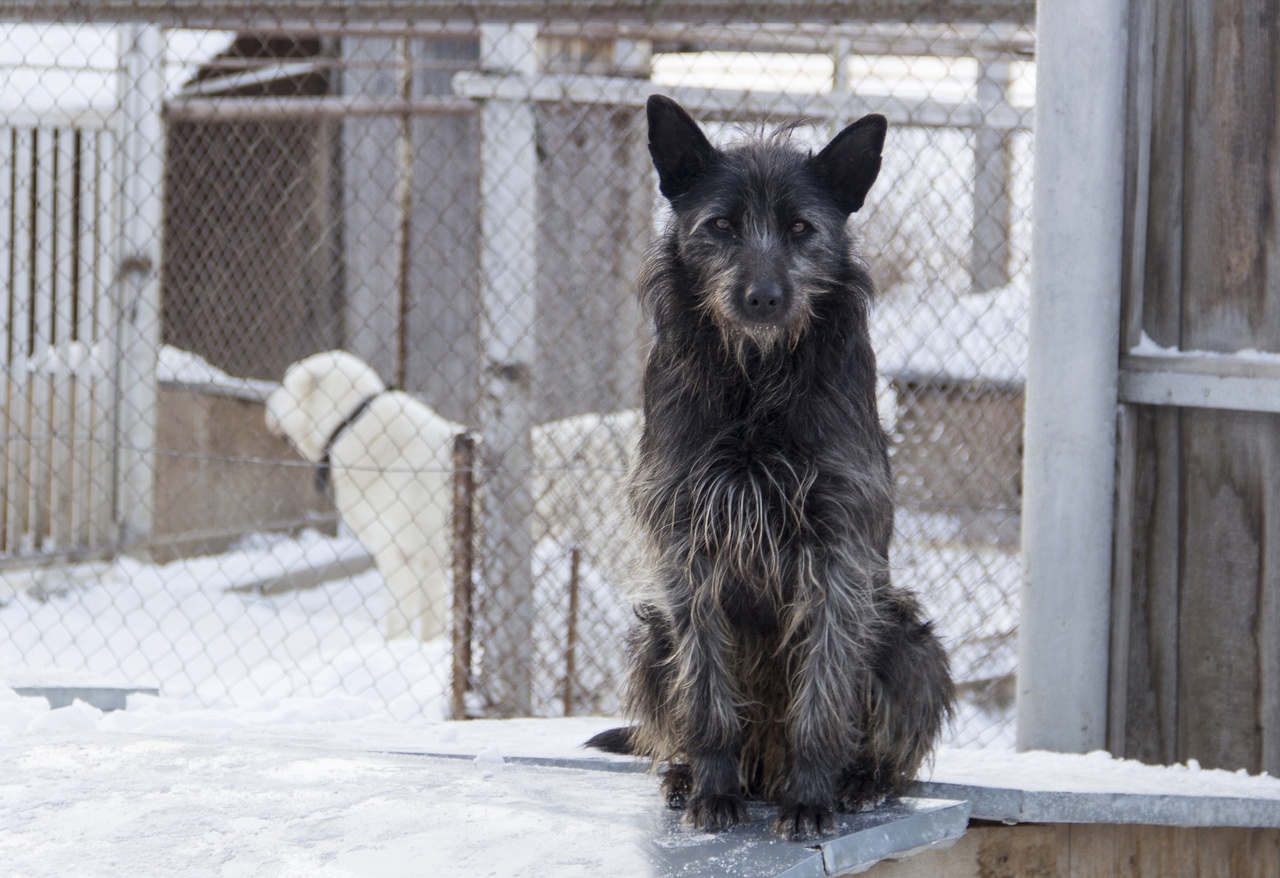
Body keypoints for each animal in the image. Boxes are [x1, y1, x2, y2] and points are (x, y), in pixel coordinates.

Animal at [264, 348, 460, 642]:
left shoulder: (417, 549)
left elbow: (421, 608)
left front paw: (417, 643)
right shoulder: (395, 548)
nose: (267, 402)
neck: (350, 423)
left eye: (285, 384)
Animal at [586, 94, 952, 839]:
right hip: (651, 638)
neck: (755, 379)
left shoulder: (837, 554)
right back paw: (685, 774)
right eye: (722, 226)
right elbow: (706, 693)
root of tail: (766, 763)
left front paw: (810, 797)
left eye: (801, 229)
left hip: (907, 639)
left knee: (886, 744)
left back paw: (859, 781)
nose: (762, 298)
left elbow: (824, 693)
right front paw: (711, 787)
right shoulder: (687, 551)